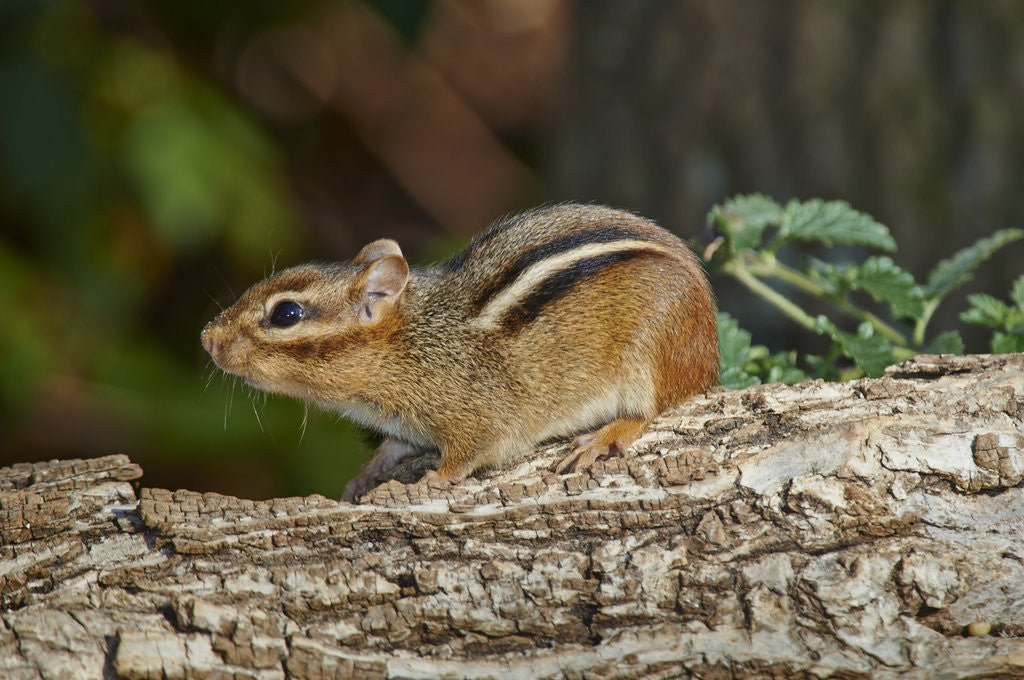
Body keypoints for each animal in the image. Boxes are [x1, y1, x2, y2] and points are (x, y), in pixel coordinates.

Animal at [201, 204, 719, 501]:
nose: (207, 337)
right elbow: (393, 447)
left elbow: (469, 454)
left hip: (651, 350)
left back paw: (603, 437)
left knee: (649, 410)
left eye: (286, 314)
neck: (412, 341)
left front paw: (433, 478)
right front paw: (367, 473)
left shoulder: (478, 416)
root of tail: (709, 349)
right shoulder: (405, 427)